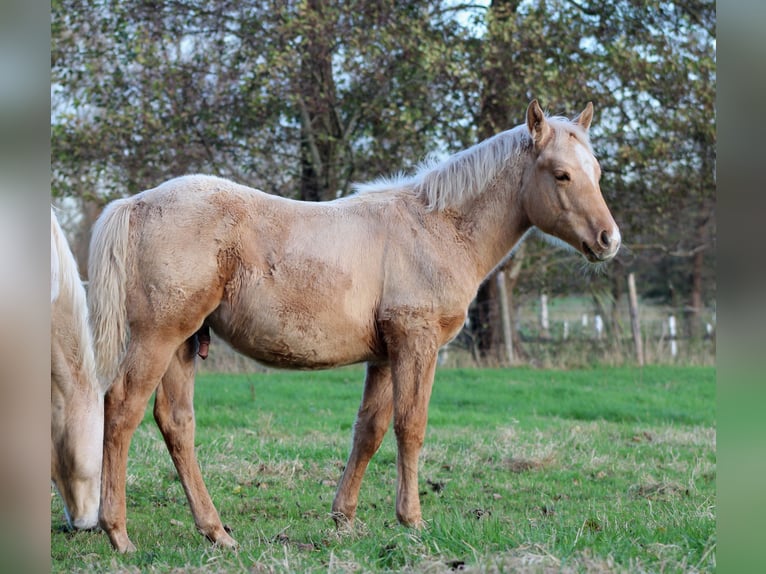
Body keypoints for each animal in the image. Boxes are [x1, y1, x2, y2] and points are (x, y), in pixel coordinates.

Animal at [87, 100, 620, 552]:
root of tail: (136, 204)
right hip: (157, 338)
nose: (608, 240)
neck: (436, 228)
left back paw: (216, 532)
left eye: (596, 172)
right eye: (561, 174)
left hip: (183, 343)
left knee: (176, 423)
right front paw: (412, 521)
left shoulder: (384, 355)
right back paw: (119, 534)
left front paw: (344, 518)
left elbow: (371, 429)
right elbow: (411, 426)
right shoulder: (416, 343)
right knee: (122, 411)